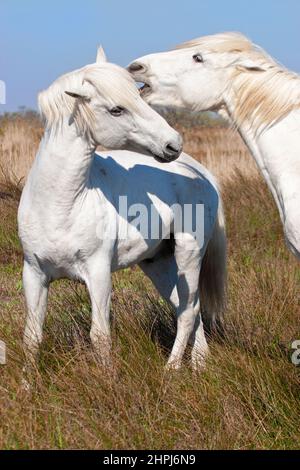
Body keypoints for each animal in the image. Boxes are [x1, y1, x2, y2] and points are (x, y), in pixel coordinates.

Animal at [18, 53, 225, 370]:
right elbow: (32, 336)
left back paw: (171, 370)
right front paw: (28, 382)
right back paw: (200, 364)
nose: (173, 143)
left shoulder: (98, 273)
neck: (60, 205)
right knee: (189, 306)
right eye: (116, 109)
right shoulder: (34, 273)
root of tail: (202, 173)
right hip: (158, 263)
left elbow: (100, 335)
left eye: (139, 95)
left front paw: (107, 378)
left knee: (188, 311)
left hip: (188, 254)